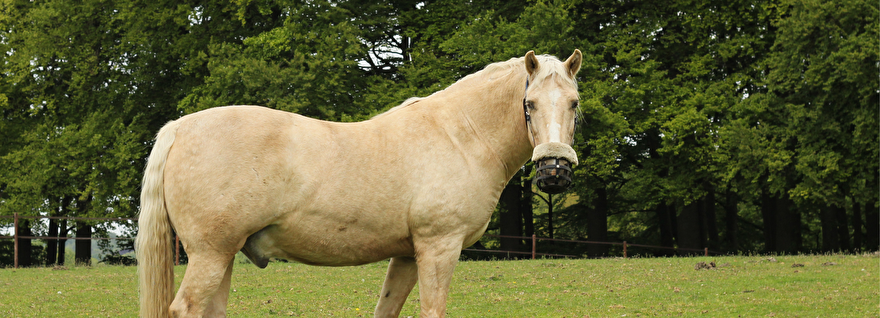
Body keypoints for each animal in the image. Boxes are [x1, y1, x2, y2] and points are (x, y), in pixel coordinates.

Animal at [138, 49, 584, 318]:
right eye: (529, 104)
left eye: (574, 103)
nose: (554, 170)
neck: (460, 134)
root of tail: (179, 128)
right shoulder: (439, 248)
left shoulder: (407, 255)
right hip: (210, 255)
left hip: (223, 255)